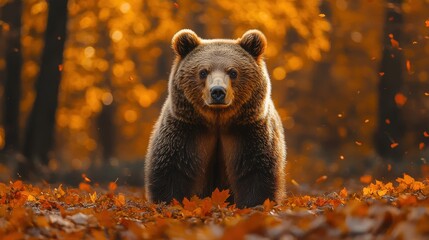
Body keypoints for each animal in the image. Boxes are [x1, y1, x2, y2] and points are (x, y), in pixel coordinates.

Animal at [145, 28, 288, 208]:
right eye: (203, 72)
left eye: (233, 72)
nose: (218, 91)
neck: (217, 120)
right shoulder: (186, 129)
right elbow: (172, 168)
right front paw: (171, 202)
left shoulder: (248, 130)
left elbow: (256, 170)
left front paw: (253, 204)